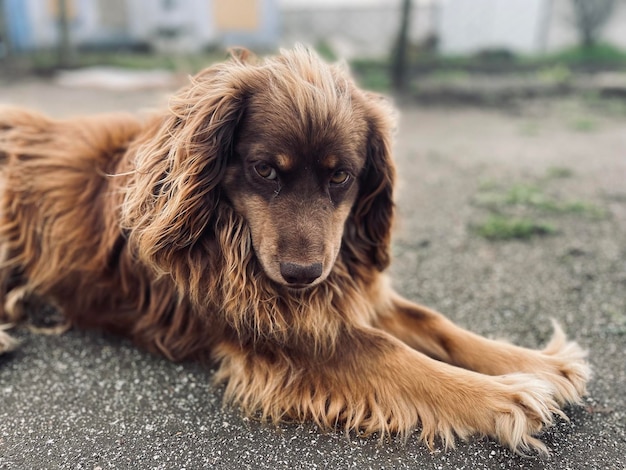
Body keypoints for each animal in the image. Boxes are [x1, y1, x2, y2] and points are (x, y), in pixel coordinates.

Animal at [0, 47, 588, 456]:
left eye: (341, 176)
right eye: (265, 170)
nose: (301, 275)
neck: (225, 228)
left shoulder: (342, 286)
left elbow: (434, 322)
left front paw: (538, 364)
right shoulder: (282, 332)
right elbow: (390, 351)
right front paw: (506, 397)